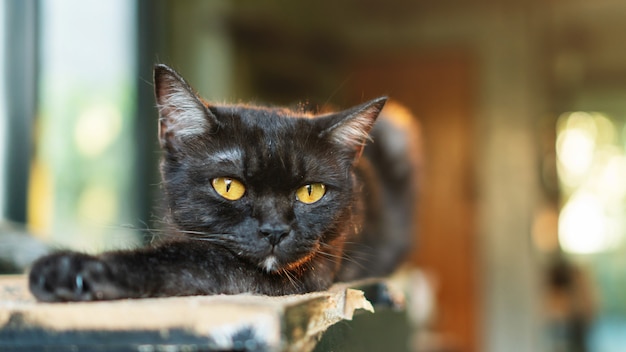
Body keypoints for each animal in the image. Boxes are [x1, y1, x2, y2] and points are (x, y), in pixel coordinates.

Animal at [28, 64, 420, 302]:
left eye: (311, 191)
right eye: (228, 186)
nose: (275, 230)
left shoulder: (307, 270)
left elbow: (195, 259)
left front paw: (74, 270)